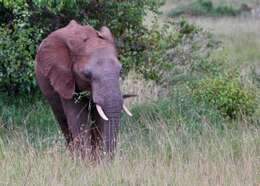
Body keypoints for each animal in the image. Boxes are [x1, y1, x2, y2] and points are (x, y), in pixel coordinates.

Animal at [35, 20, 132, 159]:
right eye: (86, 74)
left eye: (120, 70)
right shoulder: (65, 79)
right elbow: (78, 120)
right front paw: (84, 161)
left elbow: (101, 119)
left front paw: (99, 161)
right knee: (63, 122)